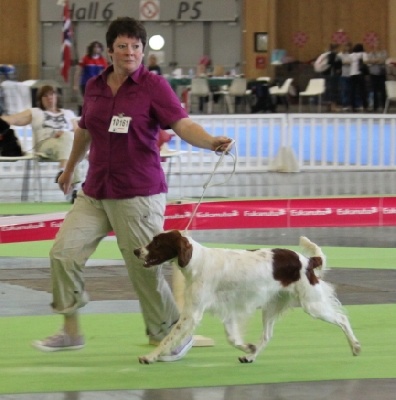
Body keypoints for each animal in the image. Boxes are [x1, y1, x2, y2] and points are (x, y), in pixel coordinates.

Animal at [134, 230, 362, 364]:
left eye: (156, 242)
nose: (136, 251)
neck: (197, 261)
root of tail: (307, 261)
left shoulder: (192, 313)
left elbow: (169, 337)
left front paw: (150, 356)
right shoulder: (227, 309)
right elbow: (232, 337)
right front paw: (247, 347)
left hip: (312, 304)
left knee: (342, 318)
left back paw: (355, 346)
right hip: (271, 307)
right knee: (267, 335)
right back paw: (250, 356)